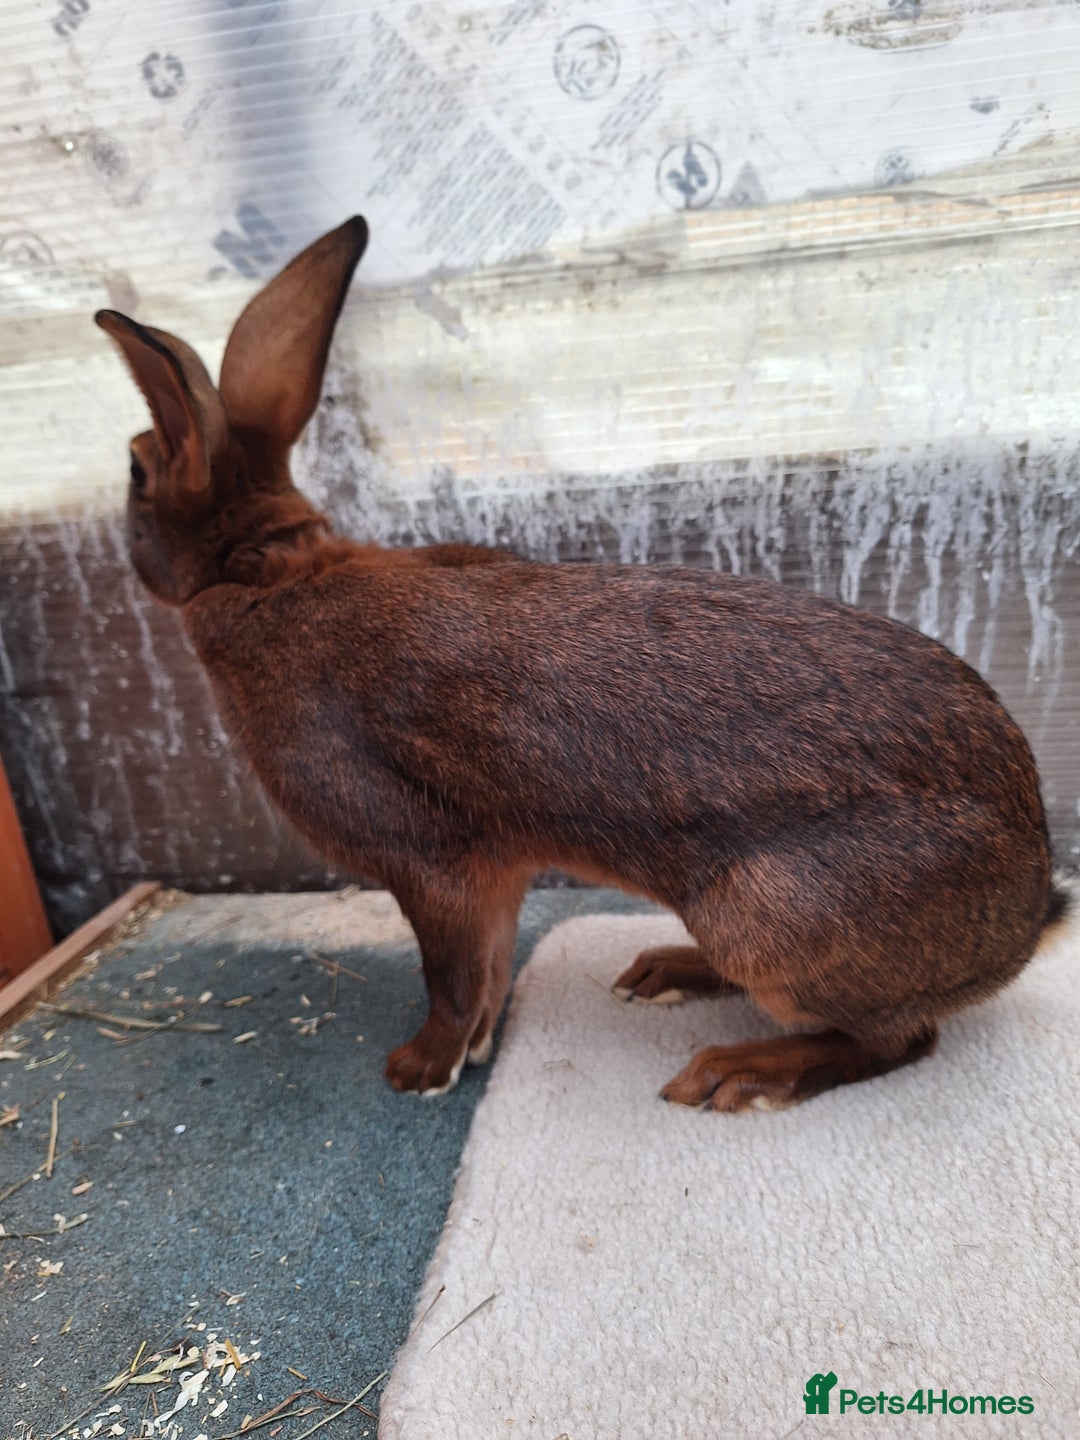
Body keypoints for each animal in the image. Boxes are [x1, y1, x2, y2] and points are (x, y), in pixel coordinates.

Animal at [95, 216, 1070, 1112]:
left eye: (138, 473)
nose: (124, 518)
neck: (264, 569)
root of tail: (1030, 914)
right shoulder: (486, 872)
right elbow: (488, 966)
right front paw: (473, 1049)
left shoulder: (431, 862)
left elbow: (454, 975)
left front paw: (420, 1068)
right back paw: (665, 972)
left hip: (772, 914)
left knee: (898, 1039)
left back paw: (738, 1071)